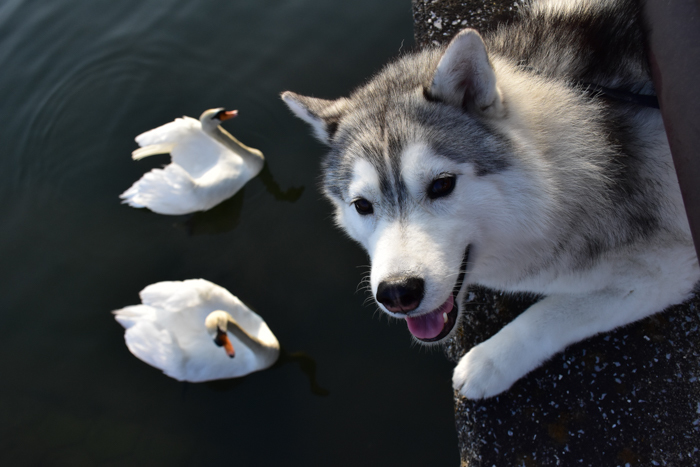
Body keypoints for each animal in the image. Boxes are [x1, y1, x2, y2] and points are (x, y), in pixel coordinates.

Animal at [282, 0, 696, 400]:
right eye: (362, 206)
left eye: (441, 185)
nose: (398, 293)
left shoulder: (669, 268)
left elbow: (553, 312)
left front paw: (488, 363)